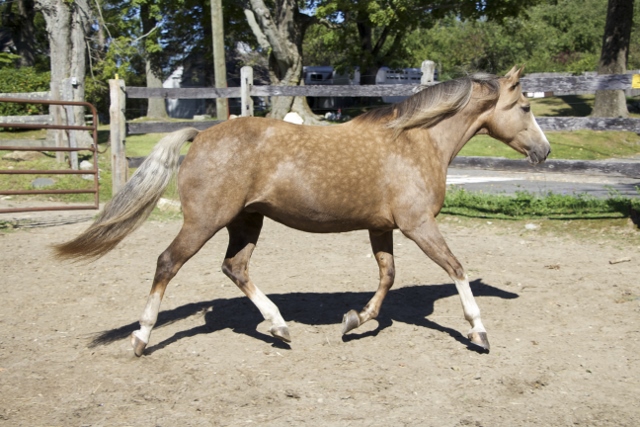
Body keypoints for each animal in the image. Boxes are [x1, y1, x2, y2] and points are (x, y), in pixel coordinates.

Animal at [56, 65, 552, 356]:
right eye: (526, 106)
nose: (544, 151)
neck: (416, 141)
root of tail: (202, 134)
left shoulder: (382, 228)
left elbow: (387, 276)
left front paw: (354, 321)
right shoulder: (418, 225)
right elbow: (455, 267)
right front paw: (478, 331)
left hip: (246, 221)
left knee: (235, 267)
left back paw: (278, 327)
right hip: (204, 221)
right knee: (167, 263)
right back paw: (141, 338)